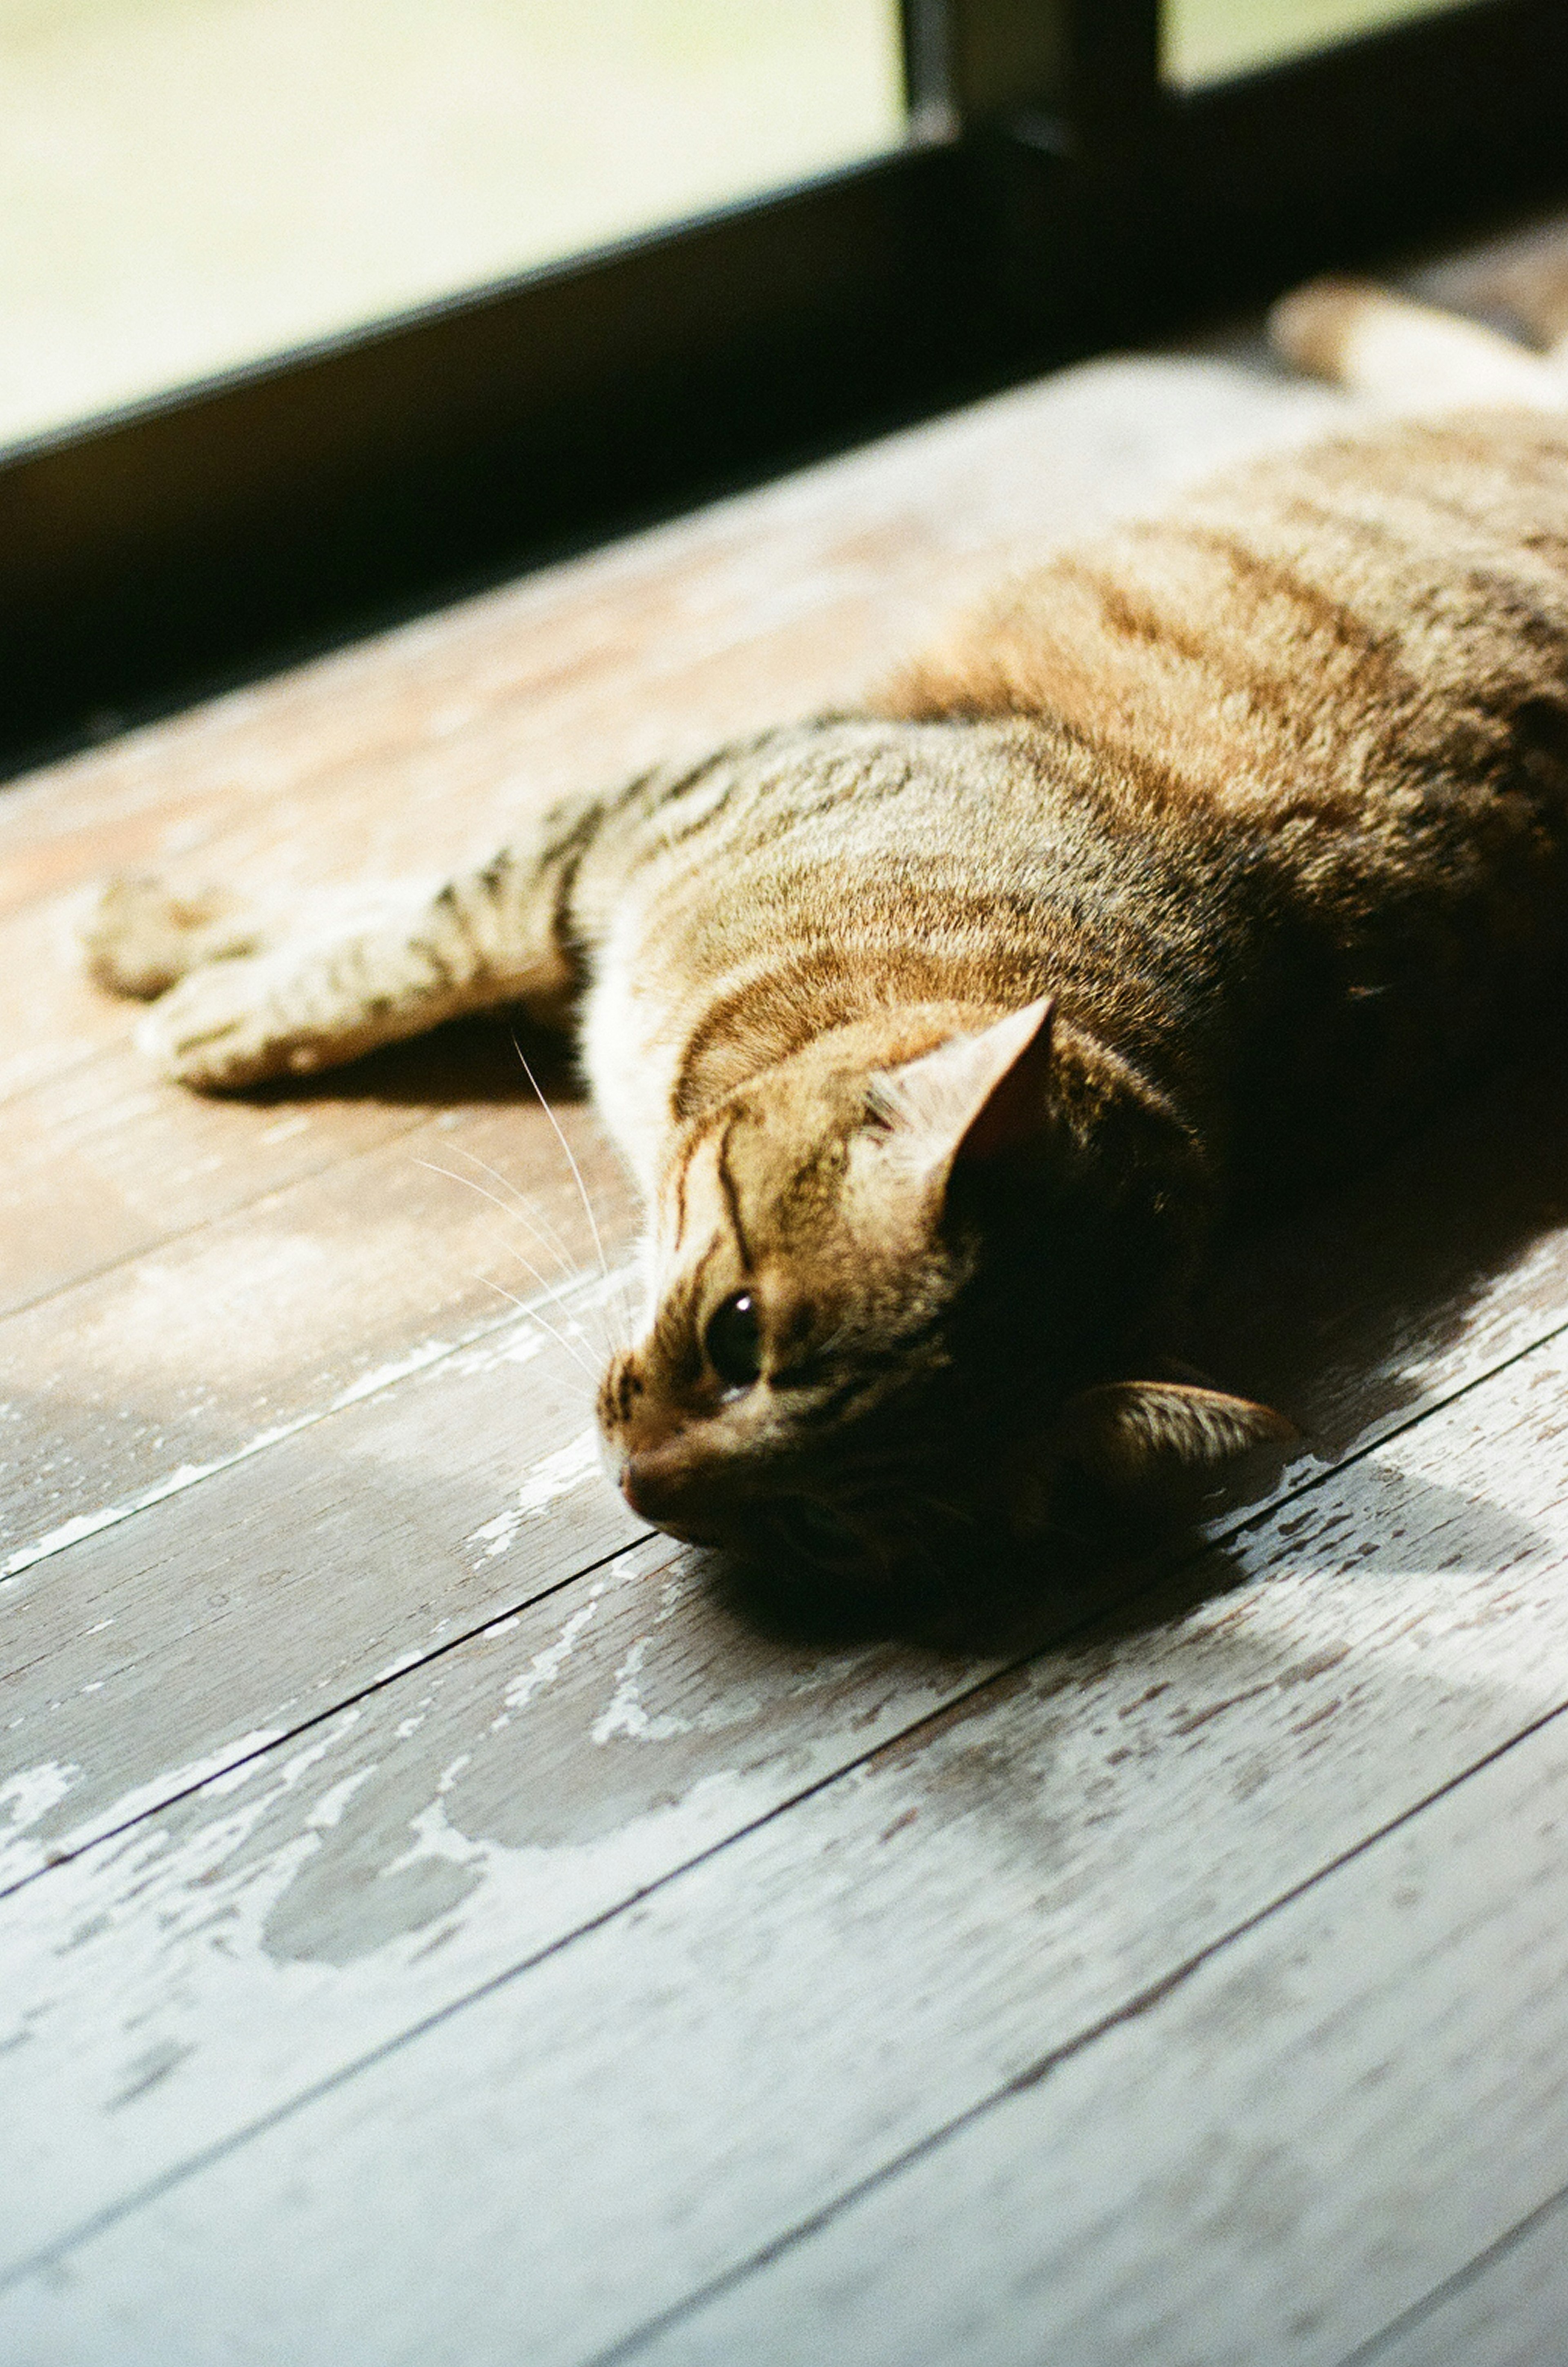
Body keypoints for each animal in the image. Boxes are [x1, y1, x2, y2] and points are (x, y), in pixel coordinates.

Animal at [82, 277, 1568, 1581]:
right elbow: (410, 922)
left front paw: (200, 971)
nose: (646, 1486)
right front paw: (183, 948)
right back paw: (1321, 311)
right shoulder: (632, 823)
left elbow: (409, 925)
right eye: (739, 1333)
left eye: (826, 1528)